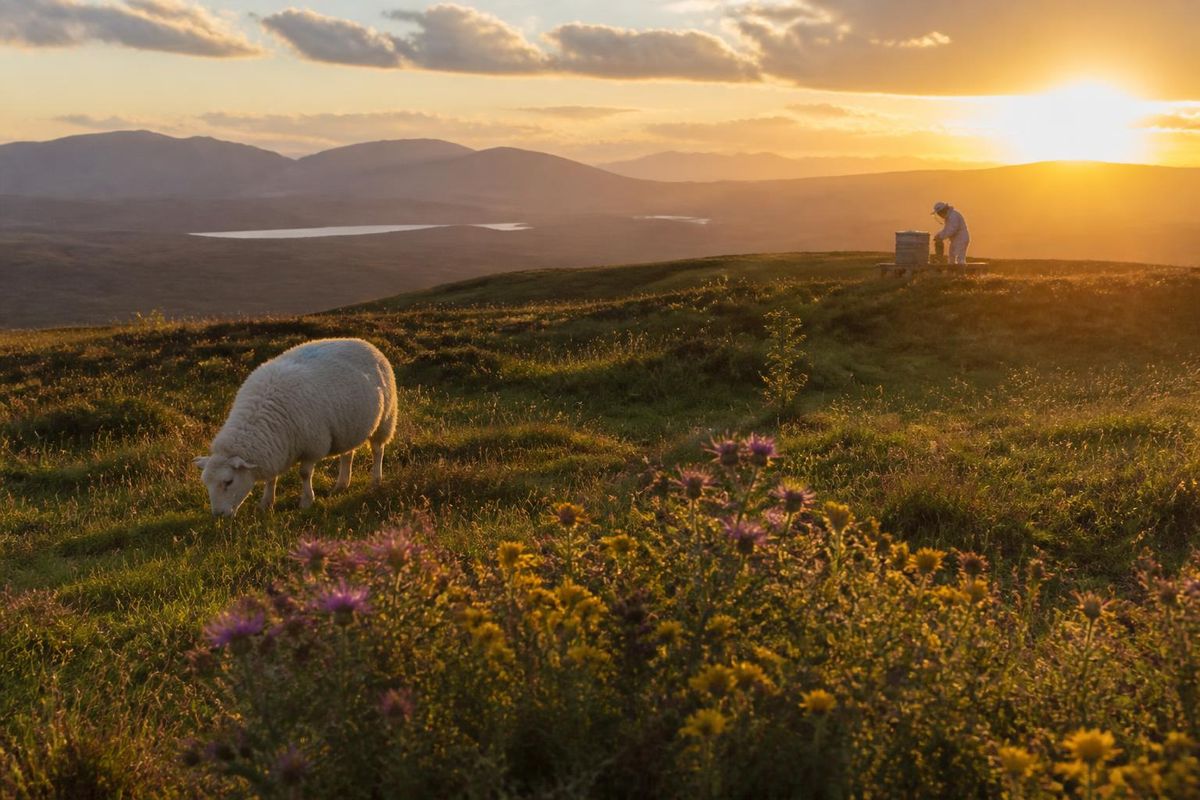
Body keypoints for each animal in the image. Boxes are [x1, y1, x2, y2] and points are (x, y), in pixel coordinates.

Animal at [194, 338, 397, 517]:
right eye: (206, 483)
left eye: (228, 481)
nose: (218, 515)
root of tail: (364, 342)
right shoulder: (275, 450)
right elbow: (271, 478)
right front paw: (266, 503)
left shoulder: (312, 446)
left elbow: (304, 474)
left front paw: (306, 502)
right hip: (349, 427)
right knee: (347, 455)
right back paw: (341, 484)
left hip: (385, 419)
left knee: (377, 450)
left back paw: (375, 480)